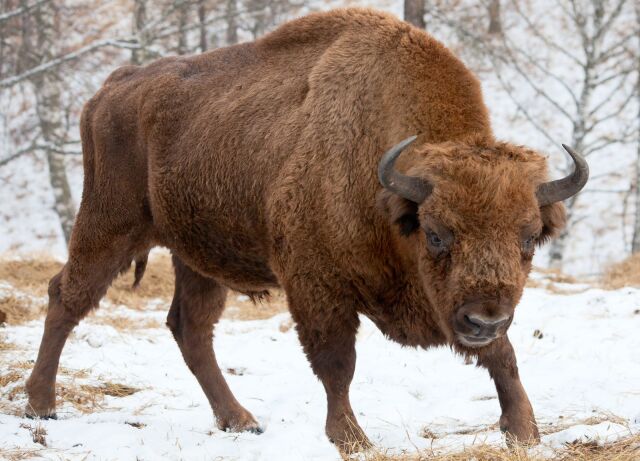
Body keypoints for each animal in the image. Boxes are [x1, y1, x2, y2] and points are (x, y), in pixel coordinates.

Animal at [26, 7, 584, 452]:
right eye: (435, 233)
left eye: (529, 238)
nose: (485, 318)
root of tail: (113, 87)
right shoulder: (318, 286)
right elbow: (337, 364)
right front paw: (351, 438)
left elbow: (504, 356)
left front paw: (525, 431)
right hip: (109, 226)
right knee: (66, 297)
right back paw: (40, 405)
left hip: (195, 254)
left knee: (190, 328)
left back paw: (240, 420)